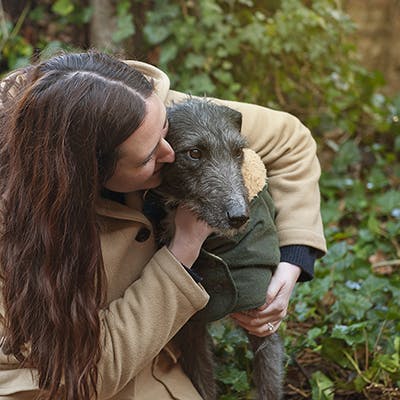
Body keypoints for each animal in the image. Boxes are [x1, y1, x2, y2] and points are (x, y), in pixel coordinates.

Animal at [151, 97, 284, 400]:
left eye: (238, 151)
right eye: (194, 153)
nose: (239, 217)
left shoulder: (260, 312)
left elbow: (269, 377)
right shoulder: (191, 324)